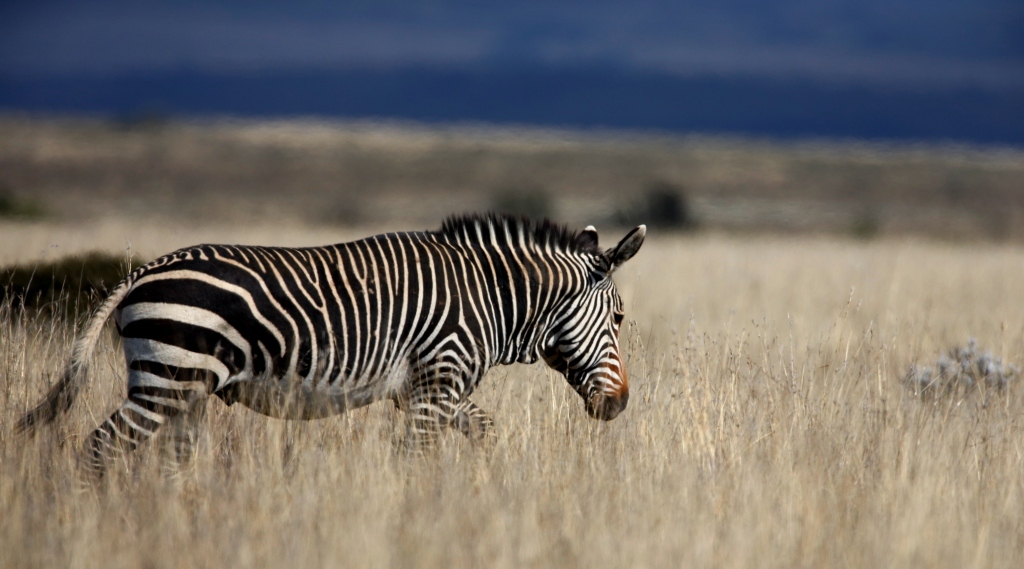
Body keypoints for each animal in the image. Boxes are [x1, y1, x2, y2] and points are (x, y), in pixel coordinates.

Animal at [17, 213, 646, 476]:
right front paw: (417, 515)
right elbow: (414, 458)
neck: (493, 300)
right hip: (166, 381)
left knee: (170, 459)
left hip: (184, 390)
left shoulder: (428, 389)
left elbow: (485, 431)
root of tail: (142, 271)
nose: (620, 406)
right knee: (101, 448)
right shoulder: (436, 383)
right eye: (618, 318)